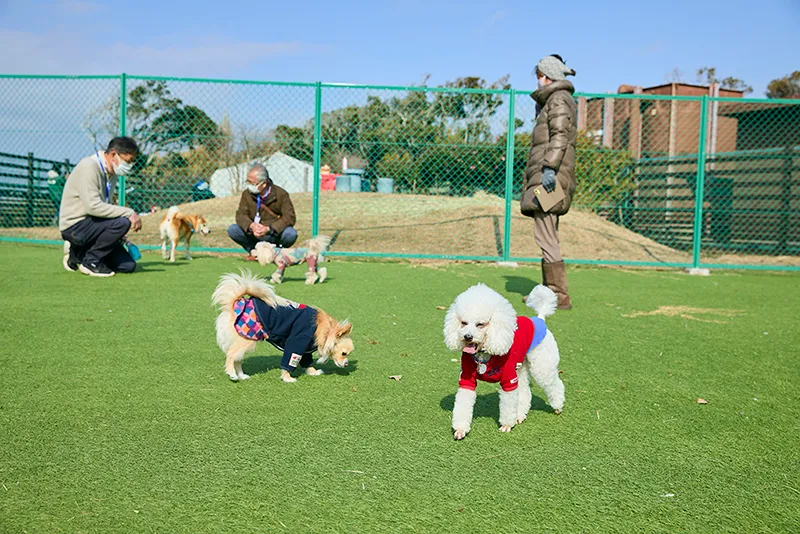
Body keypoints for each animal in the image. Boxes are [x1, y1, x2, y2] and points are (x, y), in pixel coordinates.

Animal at [440, 286, 564, 442]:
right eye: (463, 323)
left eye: (480, 324)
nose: (467, 337)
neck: (485, 353)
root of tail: (540, 319)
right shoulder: (467, 380)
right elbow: (463, 404)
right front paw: (461, 429)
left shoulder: (508, 380)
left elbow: (508, 404)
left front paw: (506, 425)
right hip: (521, 367)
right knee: (525, 391)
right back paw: (520, 415)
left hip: (541, 365)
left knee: (554, 384)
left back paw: (558, 407)